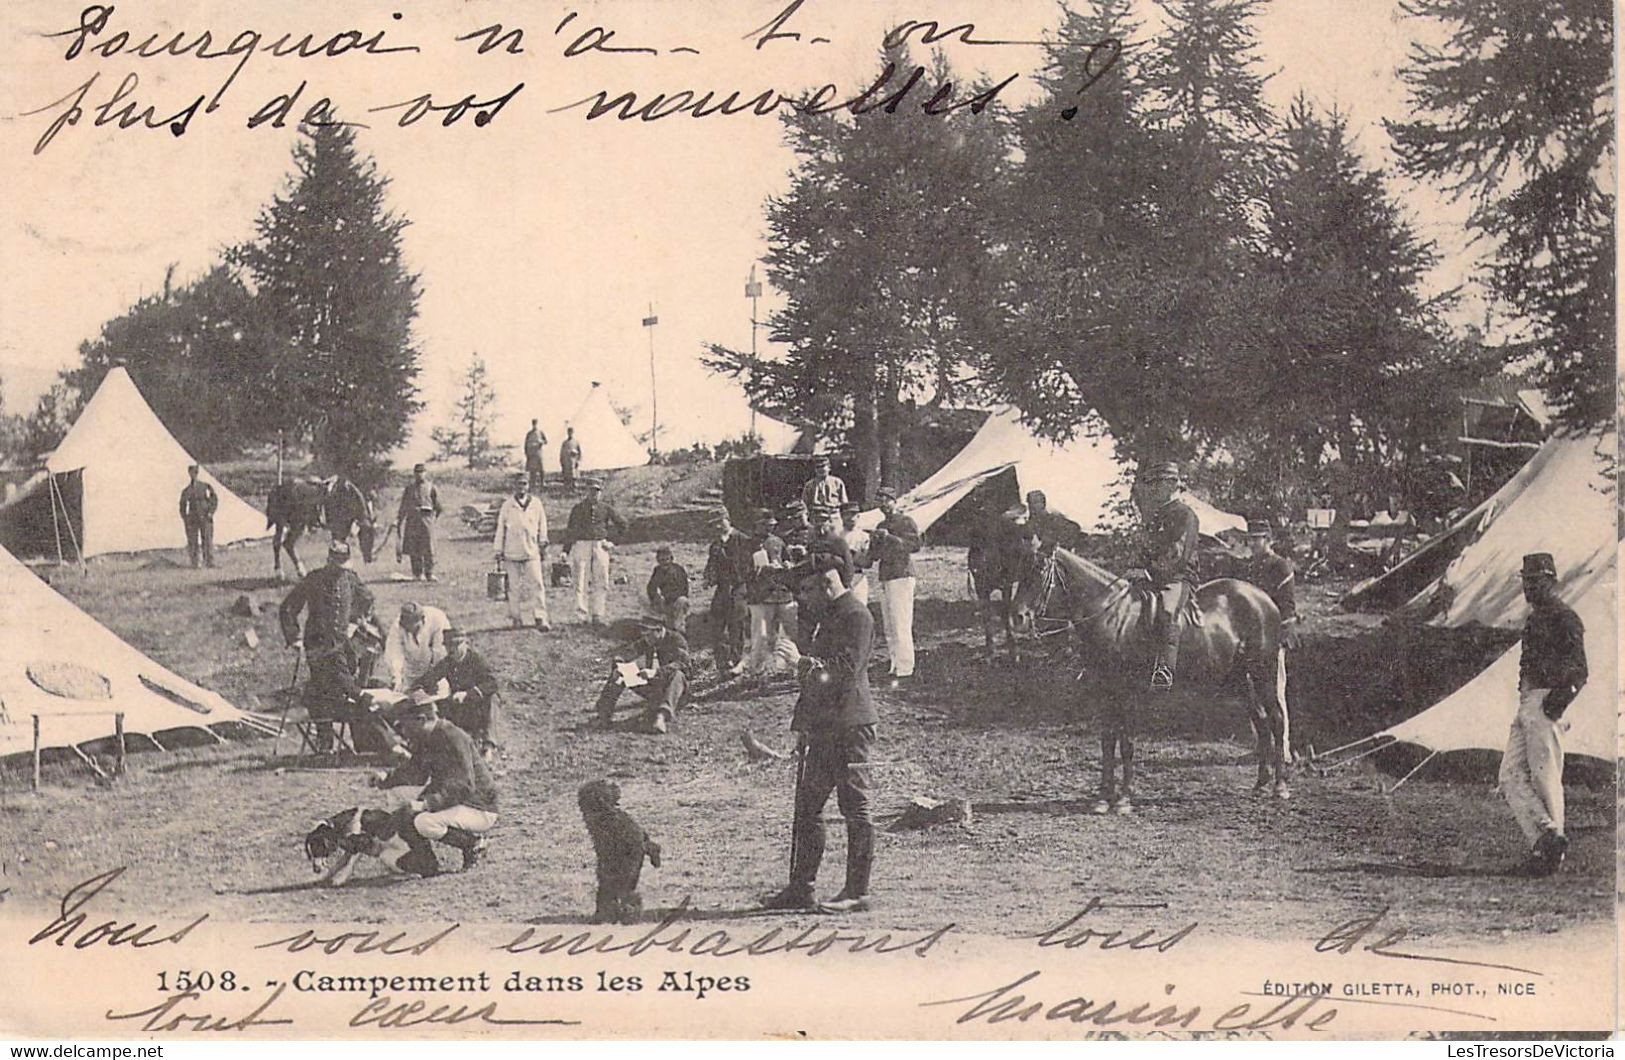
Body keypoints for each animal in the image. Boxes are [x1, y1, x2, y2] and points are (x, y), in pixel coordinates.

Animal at [578, 777, 659, 916]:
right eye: (604, 783)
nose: (616, 785)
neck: (601, 812)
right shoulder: (635, 836)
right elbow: (649, 845)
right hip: (625, 890)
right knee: (631, 899)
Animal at [1007, 549, 1287, 806]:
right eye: (1020, 568)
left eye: (1040, 570)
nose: (1017, 618)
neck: (1113, 615)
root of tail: (1264, 599)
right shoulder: (1105, 690)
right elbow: (1108, 739)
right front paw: (1104, 796)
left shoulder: (1128, 691)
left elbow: (1126, 741)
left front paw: (1124, 797)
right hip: (1239, 678)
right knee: (1261, 721)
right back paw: (1260, 784)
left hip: (1264, 670)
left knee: (1277, 719)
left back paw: (1279, 787)